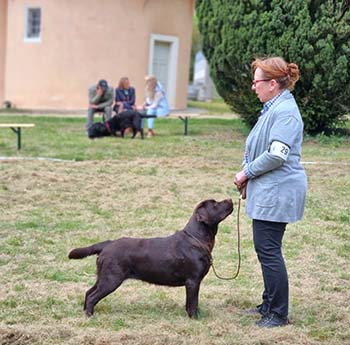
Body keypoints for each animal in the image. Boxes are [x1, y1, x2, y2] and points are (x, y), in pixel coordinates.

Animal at [68, 198, 232, 318]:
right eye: (215, 204)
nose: (230, 199)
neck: (197, 238)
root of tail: (108, 244)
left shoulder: (190, 283)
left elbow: (189, 304)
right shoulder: (193, 281)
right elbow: (193, 303)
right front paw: (195, 319)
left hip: (103, 276)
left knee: (88, 292)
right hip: (111, 278)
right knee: (92, 296)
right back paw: (89, 315)